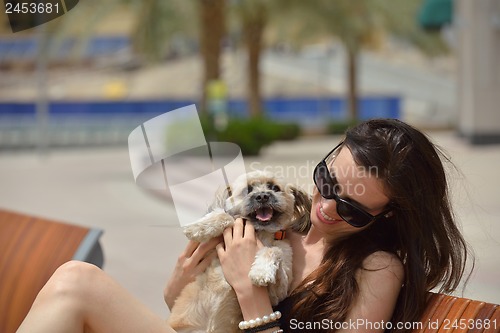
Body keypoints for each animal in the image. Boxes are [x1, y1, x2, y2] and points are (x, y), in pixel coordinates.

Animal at [168, 170, 308, 330]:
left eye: (275, 188)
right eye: (247, 190)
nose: (262, 196)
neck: (260, 233)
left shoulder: (277, 294)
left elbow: (273, 250)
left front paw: (261, 271)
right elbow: (227, 216)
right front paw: (200, 227)